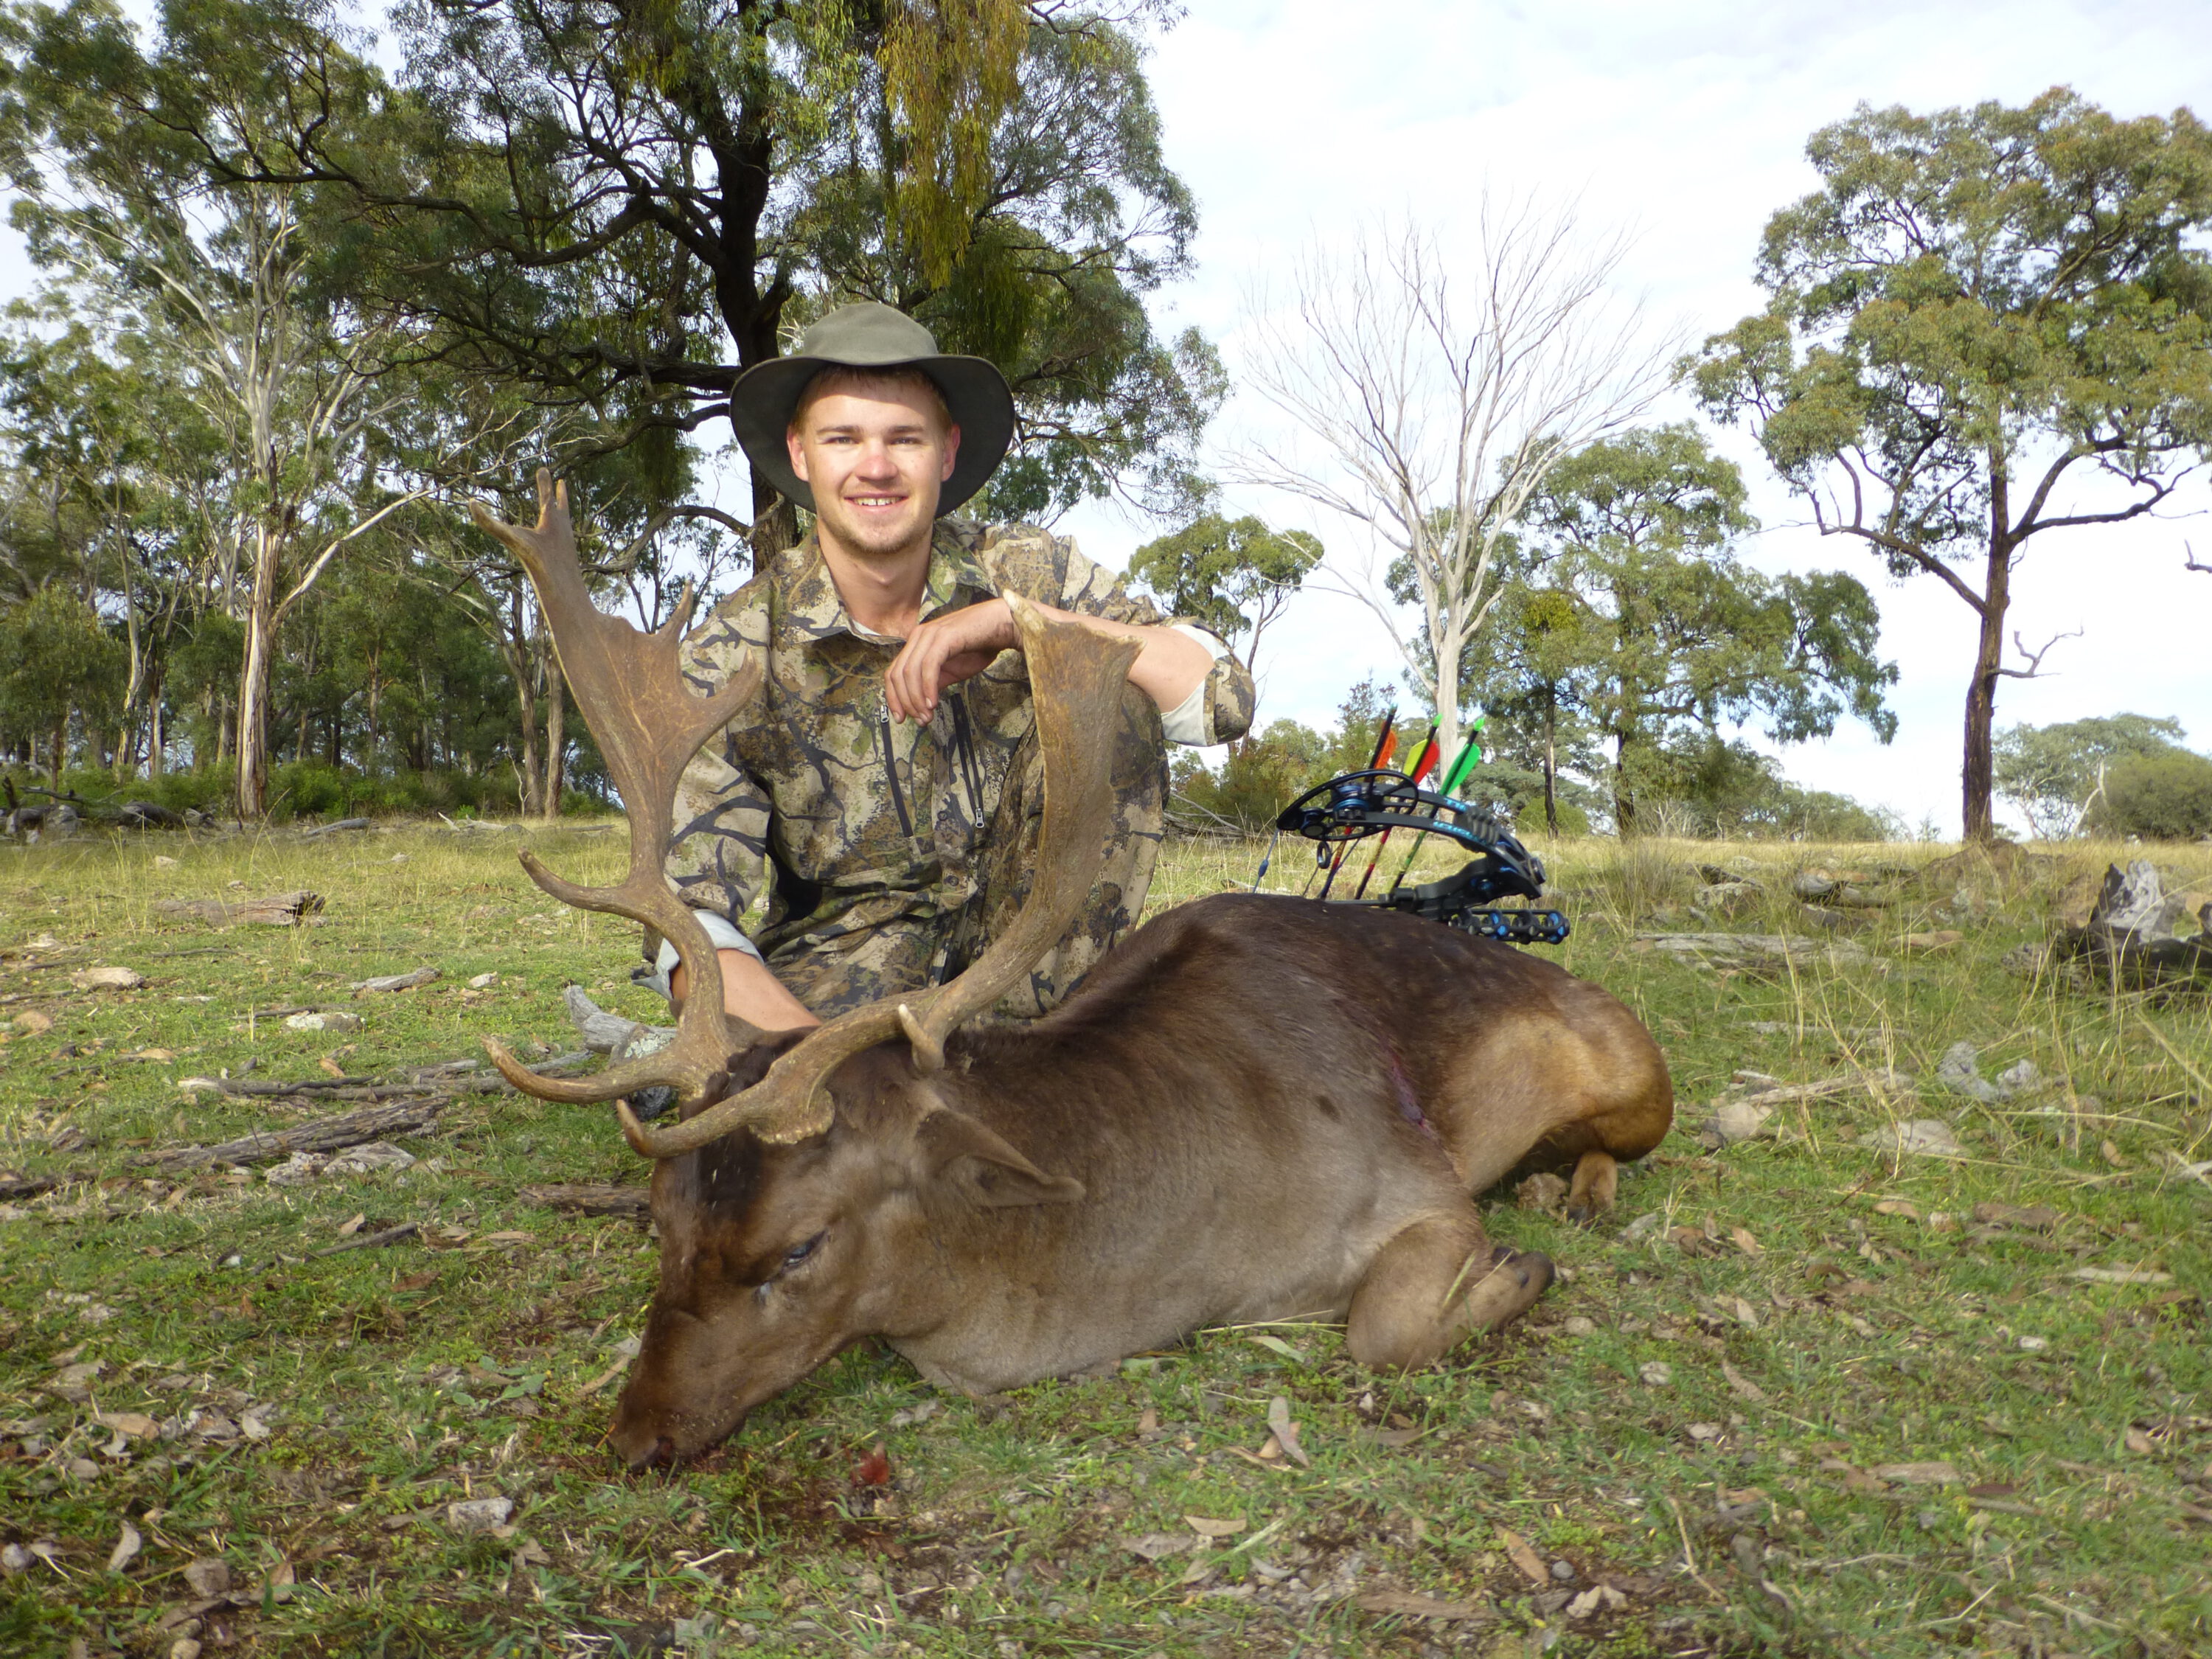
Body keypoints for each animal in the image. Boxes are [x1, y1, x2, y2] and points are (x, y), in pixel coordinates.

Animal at [471, 473, 1672, 1478]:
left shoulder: (1420, 1189)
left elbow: (1382, 1331)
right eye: (661, 1218)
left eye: (801, 1244)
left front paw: (1520, 1269)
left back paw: (1572, 1194)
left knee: (1618, 1144)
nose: (634, 1437)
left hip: (1637, 1073)